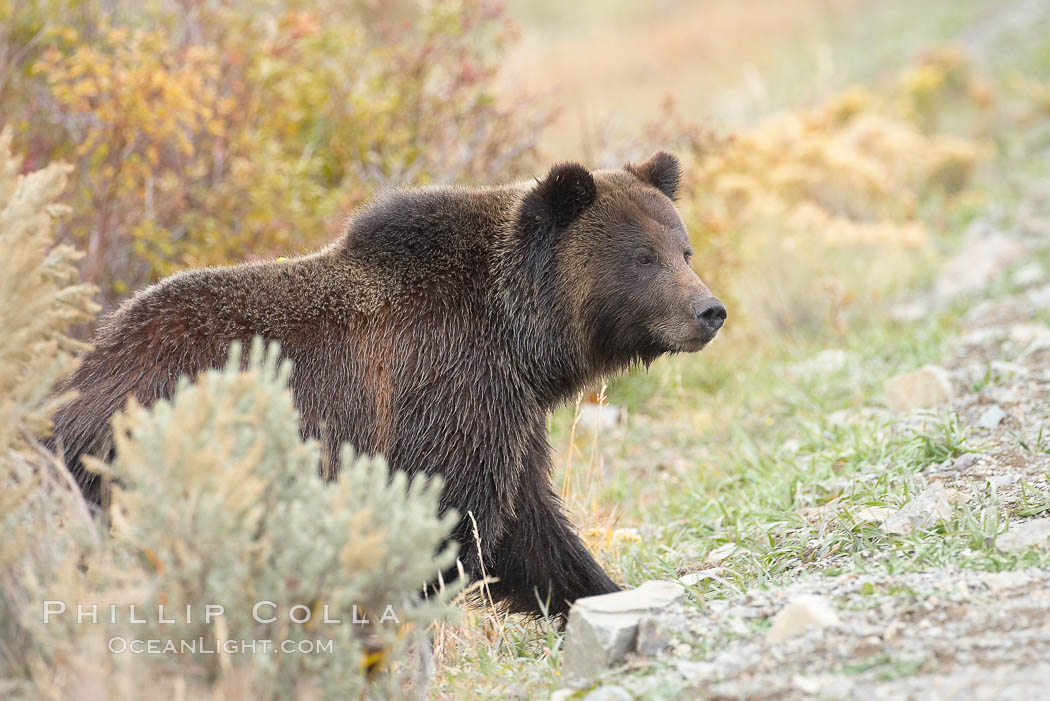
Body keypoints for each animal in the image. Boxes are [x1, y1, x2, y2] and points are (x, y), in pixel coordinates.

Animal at [48, 151, 726, 618]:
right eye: (643, 257)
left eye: (683, 248)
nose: (709, 310)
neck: (519, 336)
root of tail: (88, 371)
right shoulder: (446, 390)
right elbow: (451, 520)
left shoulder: (507, 412)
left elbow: (528, 531)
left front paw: (599, 592)